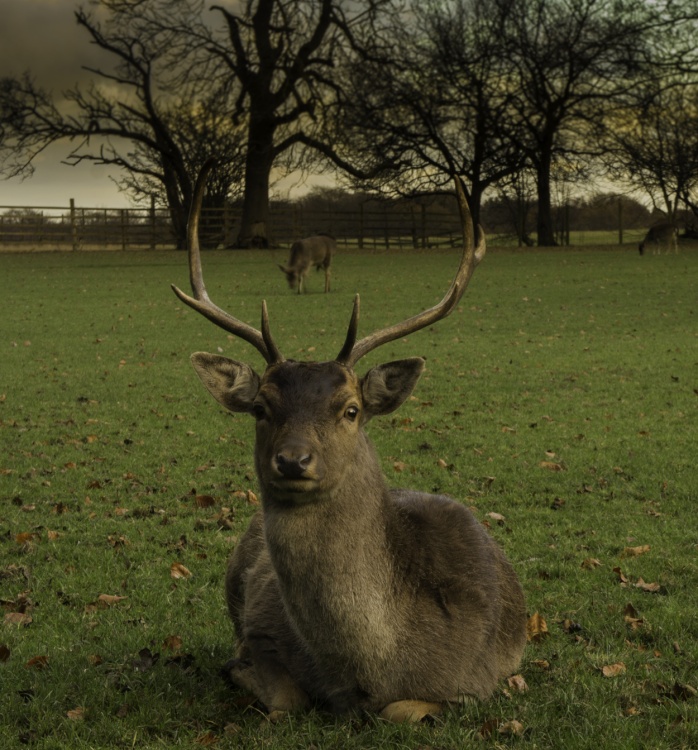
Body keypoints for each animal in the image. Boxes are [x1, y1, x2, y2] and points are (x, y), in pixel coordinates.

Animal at [172, 161, 526, 723]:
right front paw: (240, 672)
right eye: (260, 408)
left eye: (351, 409)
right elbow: (286, 698)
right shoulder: (258, 631)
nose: (293, 460)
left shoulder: (480, 678)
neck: (370, 670)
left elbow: (401, 710)